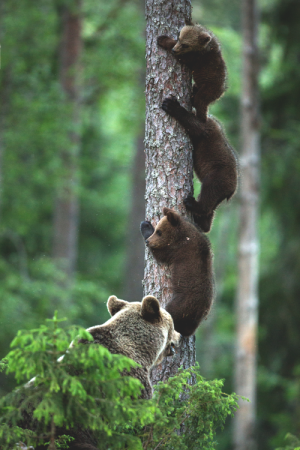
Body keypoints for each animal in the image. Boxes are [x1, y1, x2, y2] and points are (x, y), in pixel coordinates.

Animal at [140, 207, 213, 338]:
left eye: (159, 232)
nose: (148, 241)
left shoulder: (177, 250)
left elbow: (160, 254)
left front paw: (145, 226)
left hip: (180, 304)